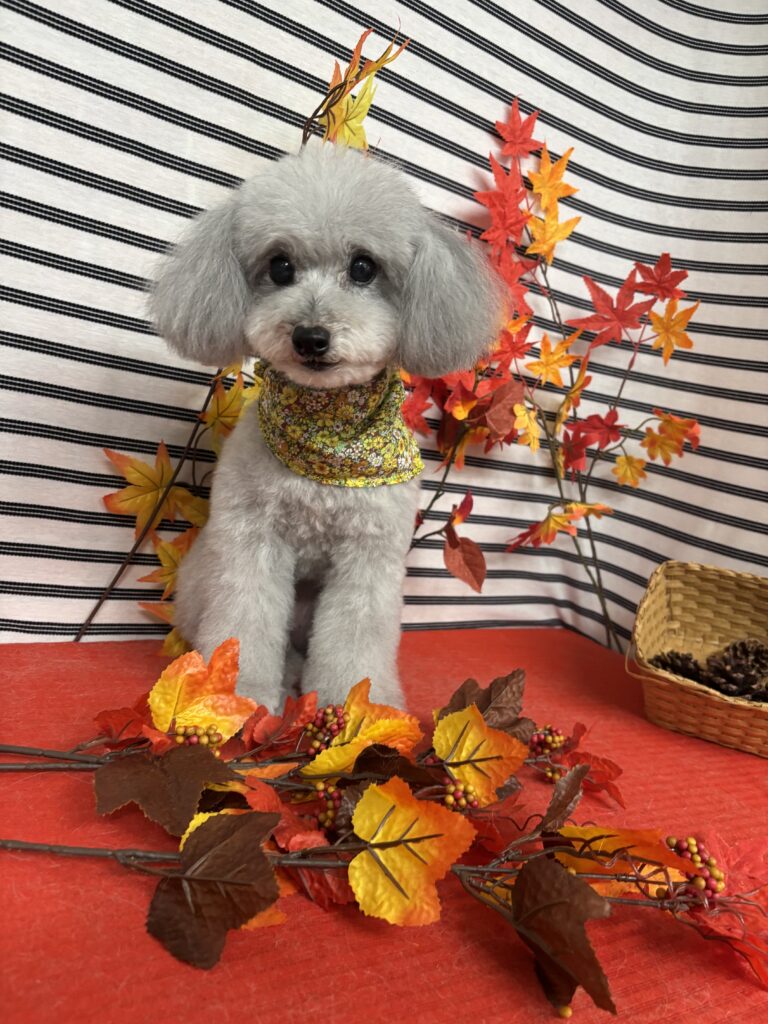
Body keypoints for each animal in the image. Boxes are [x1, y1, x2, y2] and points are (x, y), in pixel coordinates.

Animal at [152, 142, 502, 710]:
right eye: (280, 267)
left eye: (363, 267)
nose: (310, 336)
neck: (330, 440)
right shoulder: (252, 539)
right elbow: (244, 619)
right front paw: (239, 695)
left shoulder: (369, 553)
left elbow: (356, 633)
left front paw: (354, 707)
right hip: (206, 576)